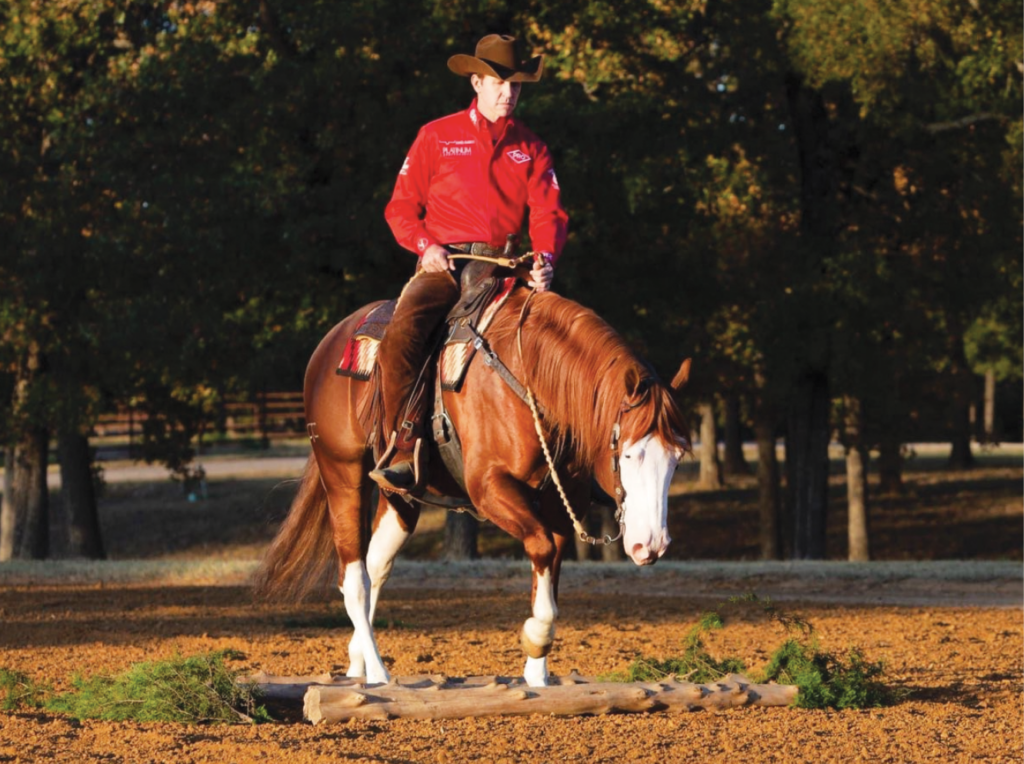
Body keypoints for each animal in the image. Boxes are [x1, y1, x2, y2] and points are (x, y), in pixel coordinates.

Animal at [253, 283, 692, 687]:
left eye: (677, 458)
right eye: (629, 455)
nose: (652, 546)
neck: (529, 377)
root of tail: (329, 344)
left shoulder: (559, 505)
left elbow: (549, 568)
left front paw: (537, 676)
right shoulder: (490, 488)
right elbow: (540, 548)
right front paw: (535, 638)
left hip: (400, 496)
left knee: (377, 565)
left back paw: (358, 662)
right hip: (342, 474)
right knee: (354, 578)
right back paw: (377, 672)